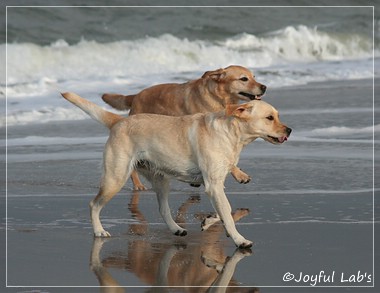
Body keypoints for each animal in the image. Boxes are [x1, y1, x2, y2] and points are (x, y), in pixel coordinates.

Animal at [61, 92, 290, 248]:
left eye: (278, 116)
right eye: (269, 118)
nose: (289, 130)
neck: (231, 133)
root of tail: (120, 120)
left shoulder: (215, 184)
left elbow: (224, 212)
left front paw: (210, 222)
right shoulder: (213, 185)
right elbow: (227, 211)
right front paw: (239, 240)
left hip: (161, 180)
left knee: (163, 209)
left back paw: (177, 229)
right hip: (115, 177)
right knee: (94, 204)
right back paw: (99, 231)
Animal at [102, 64, 266, 189]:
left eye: (254, 77)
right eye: (244, 79)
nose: (264, 87)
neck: (218, 98)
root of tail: (136, 96)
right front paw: (240, 175)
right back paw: (138, 185)